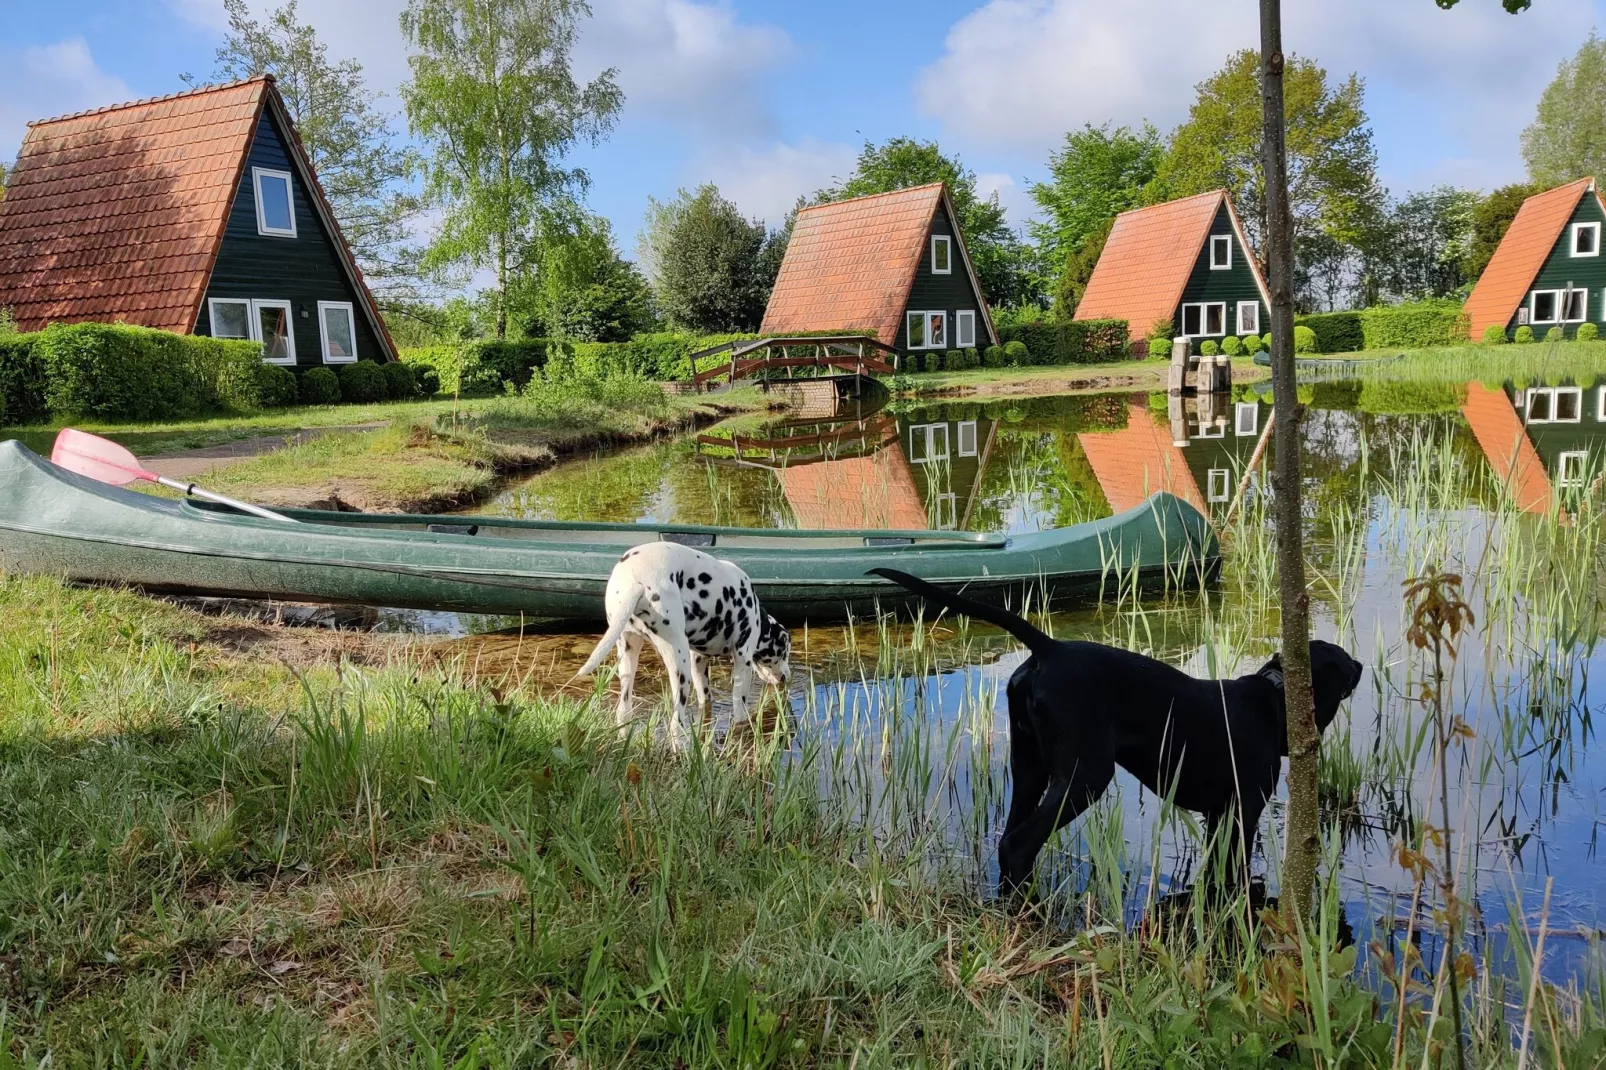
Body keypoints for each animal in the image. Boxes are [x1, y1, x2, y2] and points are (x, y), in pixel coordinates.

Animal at [578, 536, 790, 745]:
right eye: (785, 653)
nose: (787, 677)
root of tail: (634, 579)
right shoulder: (742, 661)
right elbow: (739, 710)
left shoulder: (698, 661)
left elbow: (706, 701)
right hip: (679, 665)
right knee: (675, 721)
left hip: (628, 658)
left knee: (623, 712)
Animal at [873, 565, 1361, 893]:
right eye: (1341, 664)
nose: (1359, 667)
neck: (1272, 698)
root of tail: (1047, 649)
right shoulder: (1242, 811)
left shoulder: (1219, 816)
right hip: (1084, 775)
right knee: (1019, 844)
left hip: (1030, 768)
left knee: (1009, 839)